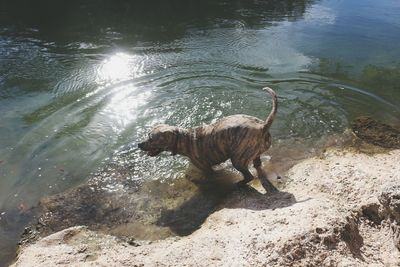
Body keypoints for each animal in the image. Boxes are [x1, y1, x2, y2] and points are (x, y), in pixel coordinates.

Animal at [139, 87, 276, 187]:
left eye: (151, 139)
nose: (138, 144)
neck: (185, 139)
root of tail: (262, 126)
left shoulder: (206, 168)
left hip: (238, 159)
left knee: (249, 176)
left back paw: (239, 184)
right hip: (253, 153)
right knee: (257, 164)